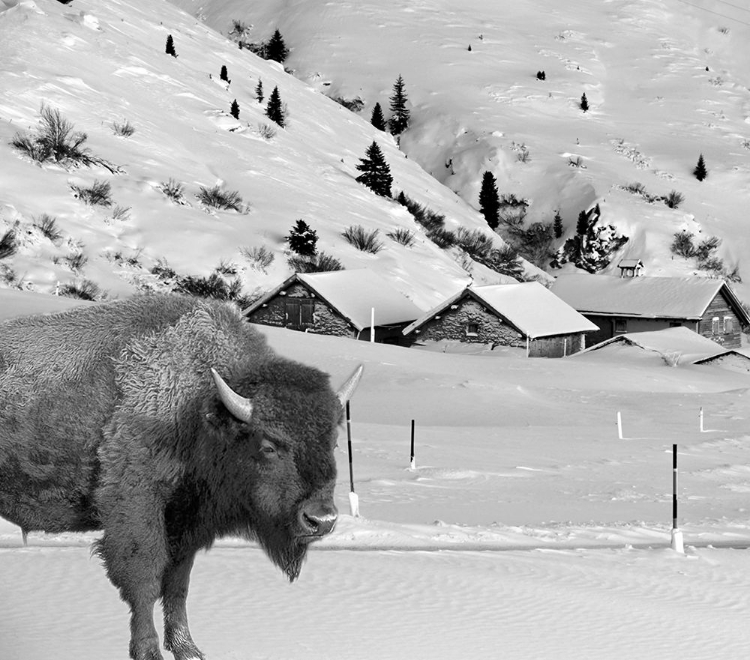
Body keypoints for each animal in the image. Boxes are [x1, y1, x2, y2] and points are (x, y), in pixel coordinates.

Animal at [0, 296, 364, 660]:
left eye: (333, 441)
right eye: (269, 445)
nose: (321, 520)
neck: (199, 408)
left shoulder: (186, 523)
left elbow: (178, 584)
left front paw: (188, 648)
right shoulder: (137, 507)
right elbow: (145, 579)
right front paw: (148, 651)